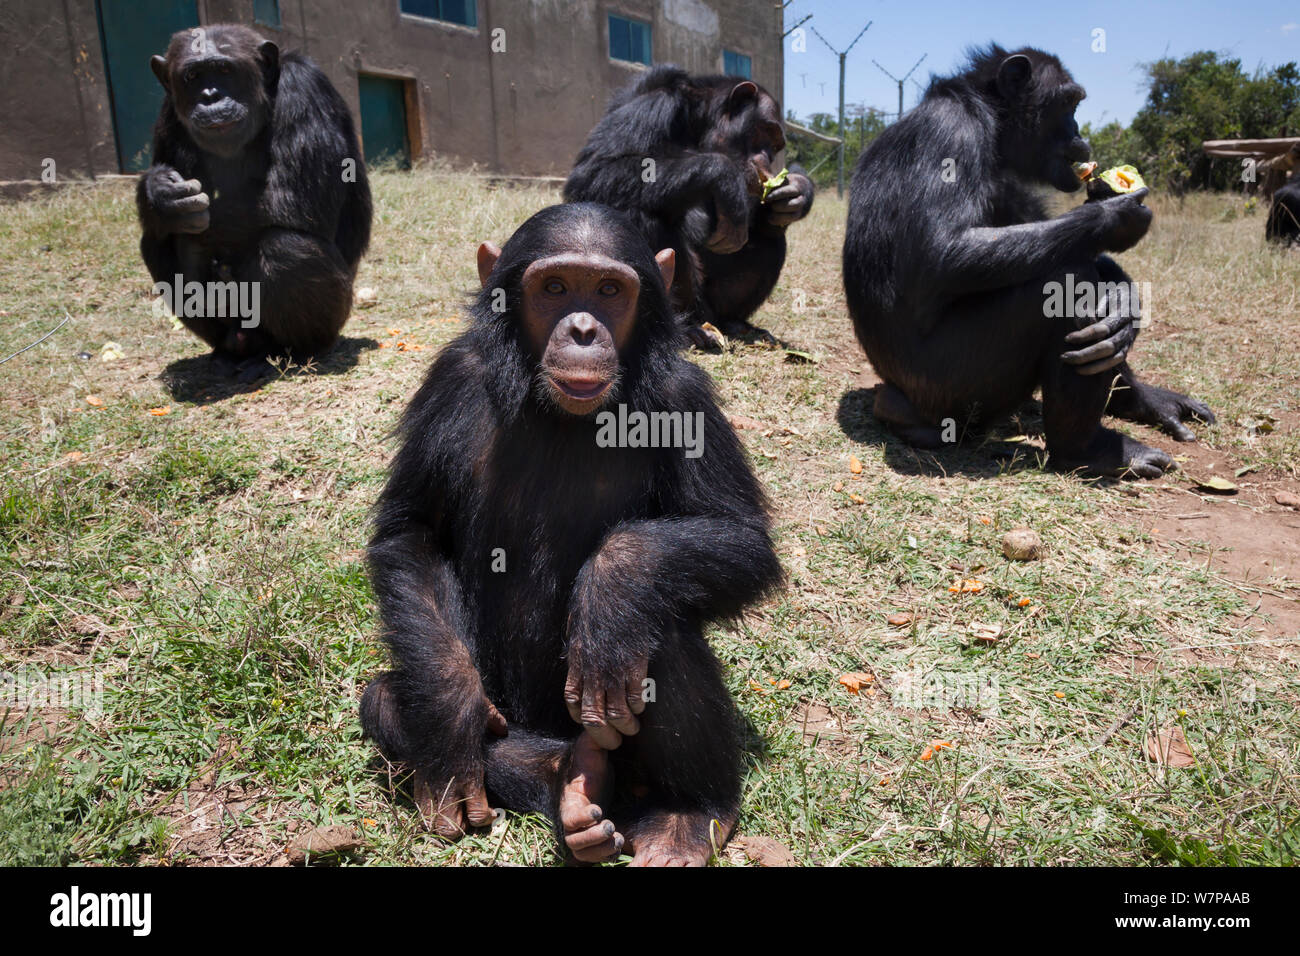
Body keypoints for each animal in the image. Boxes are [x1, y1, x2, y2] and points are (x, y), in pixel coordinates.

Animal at [137, 22, 371, 374]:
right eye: (192, 76)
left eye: (224, 69)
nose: (211, 95)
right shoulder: (169, 111)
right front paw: (160, 194)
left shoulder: (303, 88)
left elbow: (292, 201)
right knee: (154, 243)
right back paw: (230, 351)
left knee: (285, 247)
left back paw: (298, 352)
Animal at [358, 204, 780, 868]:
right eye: (554, 288)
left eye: (608, 291)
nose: (582, 330)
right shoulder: (449, 380)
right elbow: (412, 533)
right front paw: (452, 726)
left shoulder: (687, 397)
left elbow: (743, 538)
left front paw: (613, 585)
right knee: (382, 699)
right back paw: (570, 785)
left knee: (664, 630)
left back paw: (685, 815)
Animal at [561, 65, 811, 348]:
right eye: (765, 131)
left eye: (776, 145)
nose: (767, 158)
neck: (700, 124)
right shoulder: (654, 104)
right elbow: (595, 170)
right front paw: (723, 175)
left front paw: (798, 192)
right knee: (641, 213)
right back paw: (687, 328)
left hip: (717, 304)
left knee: (771, 235)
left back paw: (736, 323)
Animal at [837, 44, 1211, 478]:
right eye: (1068, 104)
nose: (1079, 132)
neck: (990, 121)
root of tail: (895, 398)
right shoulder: (949, 134)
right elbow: (943, 253)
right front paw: (1116, 216)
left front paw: (1124, 299)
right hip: (948, 389)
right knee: (1065, 280)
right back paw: (1088, 451)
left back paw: (1145, 400)